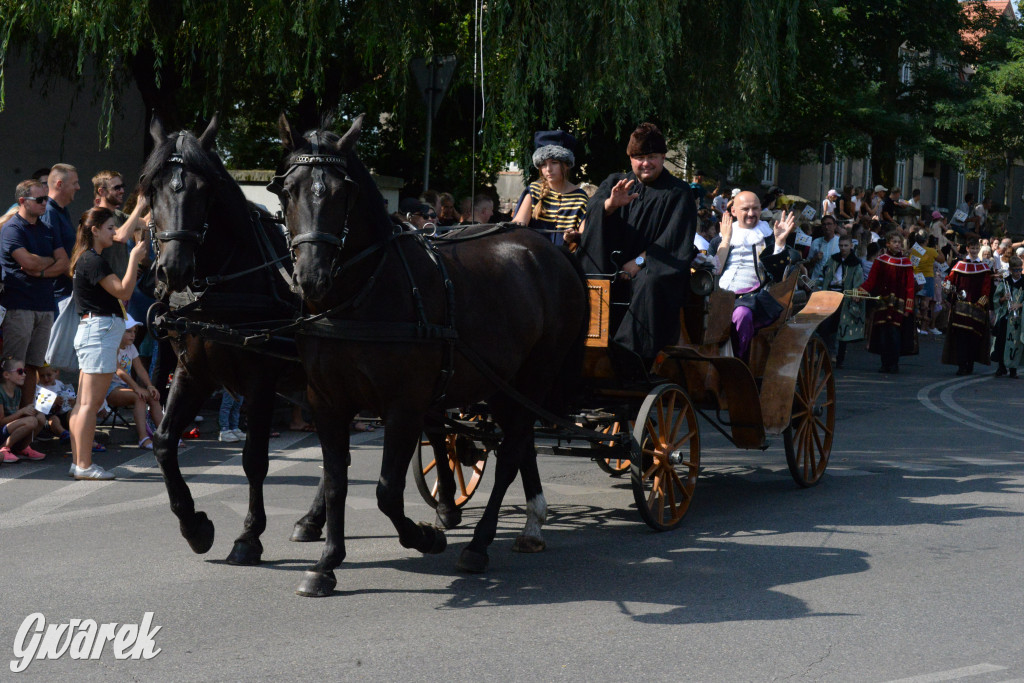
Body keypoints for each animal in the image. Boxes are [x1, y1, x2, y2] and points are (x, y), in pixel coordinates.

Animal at [142, 116, 321, 565]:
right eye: (151, 188)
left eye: (204, 190)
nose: (173, 270)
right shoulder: (192, 374)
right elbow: (164, 442)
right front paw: (194, 526)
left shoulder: (260, 381)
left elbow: (254, 460)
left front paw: (249, 536)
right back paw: (313, 520)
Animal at [270, 114, 593, 593]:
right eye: (288, 190)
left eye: (343, 192)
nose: (312, 278)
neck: (361, 294)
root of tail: (551, 250)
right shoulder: (327, 402)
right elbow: (335, 482)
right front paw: (327, 562)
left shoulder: (403, 405)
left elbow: (386, 491)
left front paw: (426, 536)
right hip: (501, 383)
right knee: (521, 444)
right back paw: (532, 523)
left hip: (534, 375)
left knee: (510, 453)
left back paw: (479, 545)